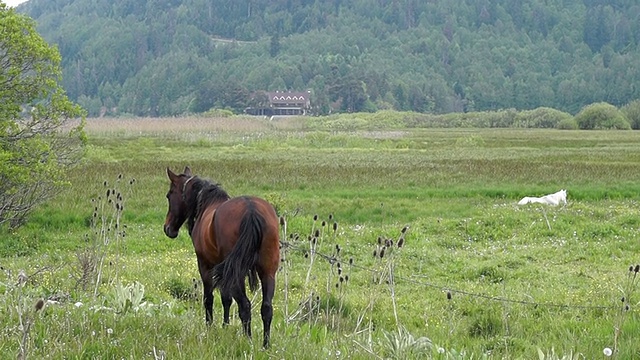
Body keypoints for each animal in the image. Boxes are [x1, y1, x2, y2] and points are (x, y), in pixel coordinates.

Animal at [164, 167, 278, 348]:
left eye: (169, 195)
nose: (168, 228)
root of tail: (251, 210)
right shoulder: (224, 271)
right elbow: (226, 299)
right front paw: (225, 326)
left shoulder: (205, 265)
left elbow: (209, 298)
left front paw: (210, 327)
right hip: (268, 272)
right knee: (266, 308)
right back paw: (265, 345)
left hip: (236, 274)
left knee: (245, 305)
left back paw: (248, 341)